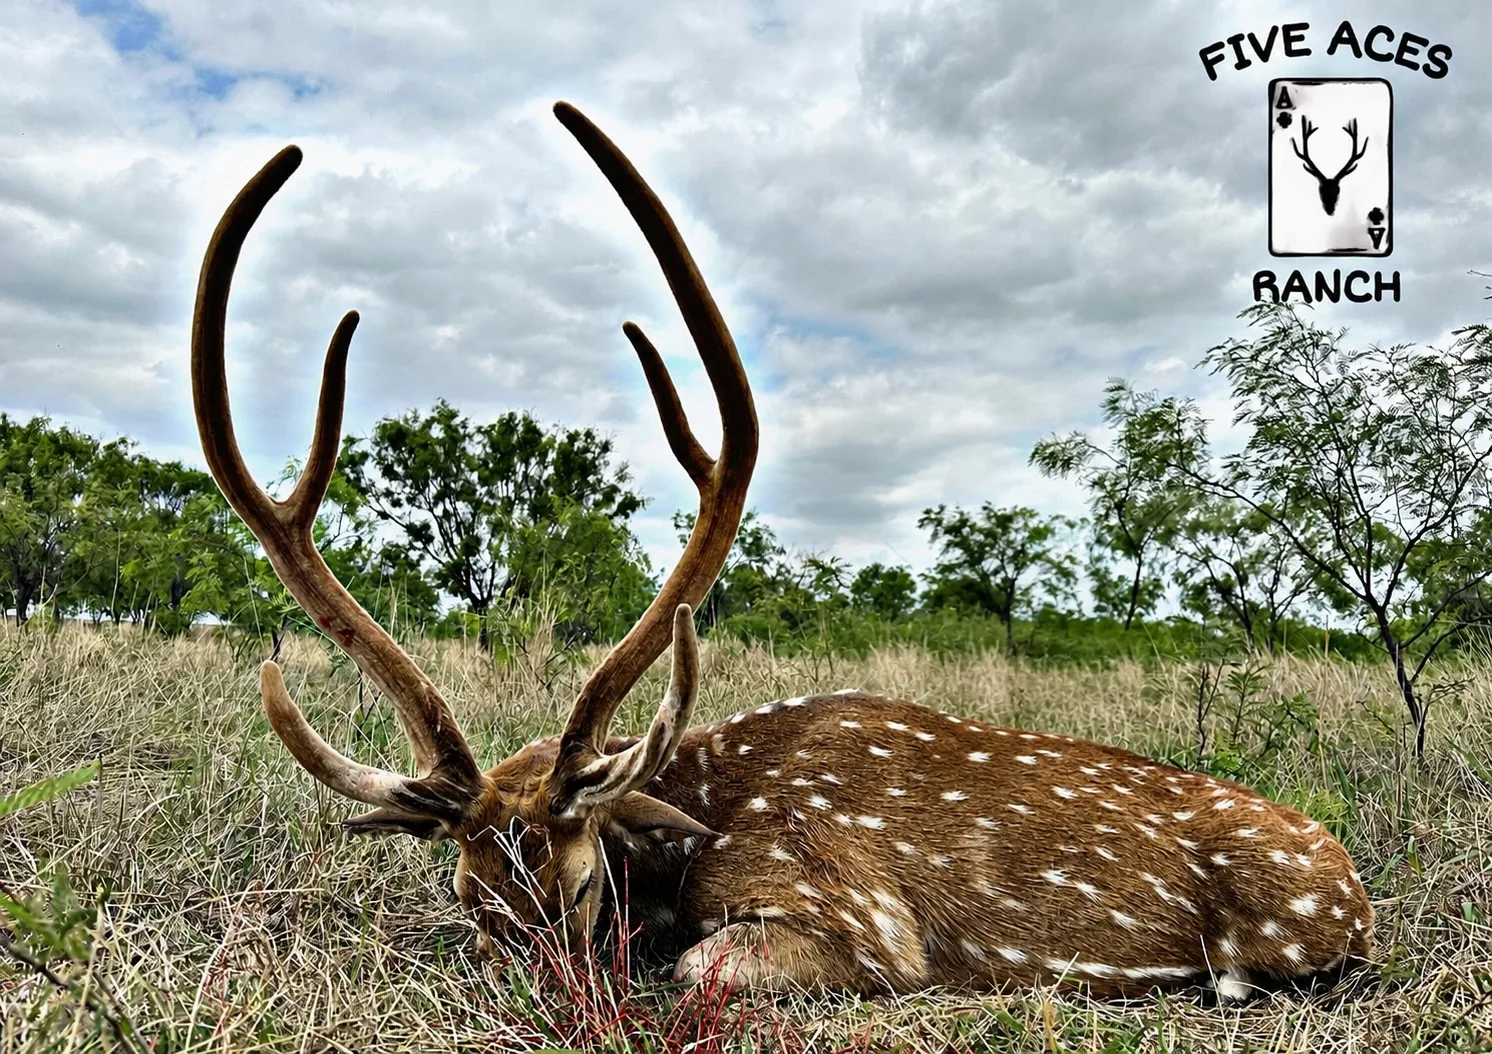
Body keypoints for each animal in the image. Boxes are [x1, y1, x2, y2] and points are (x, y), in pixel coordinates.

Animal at [191, 101, 1374, 1001]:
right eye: (467, 896)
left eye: (580, 887)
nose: (550, 1000)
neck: (693, 826)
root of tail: (1357, 890)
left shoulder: (857, 919)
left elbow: (698, 964)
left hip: (1285, 932)